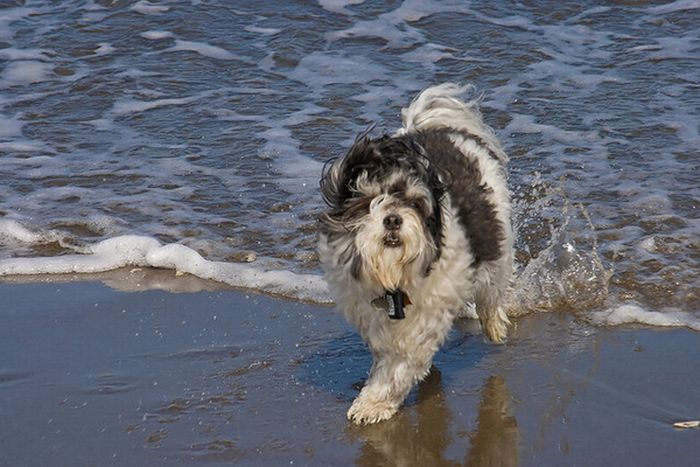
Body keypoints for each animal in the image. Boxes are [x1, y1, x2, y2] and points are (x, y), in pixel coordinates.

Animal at [318, 82, 516, 426]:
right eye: (368, 201)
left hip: (497, 234)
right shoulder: (370, 313)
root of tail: (438, 128)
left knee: (492, 286)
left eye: (412, 202)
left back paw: (493, 323)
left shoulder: (426, 316)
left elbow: (399, 366)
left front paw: (374, 402)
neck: (393, 278)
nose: (393, 219)